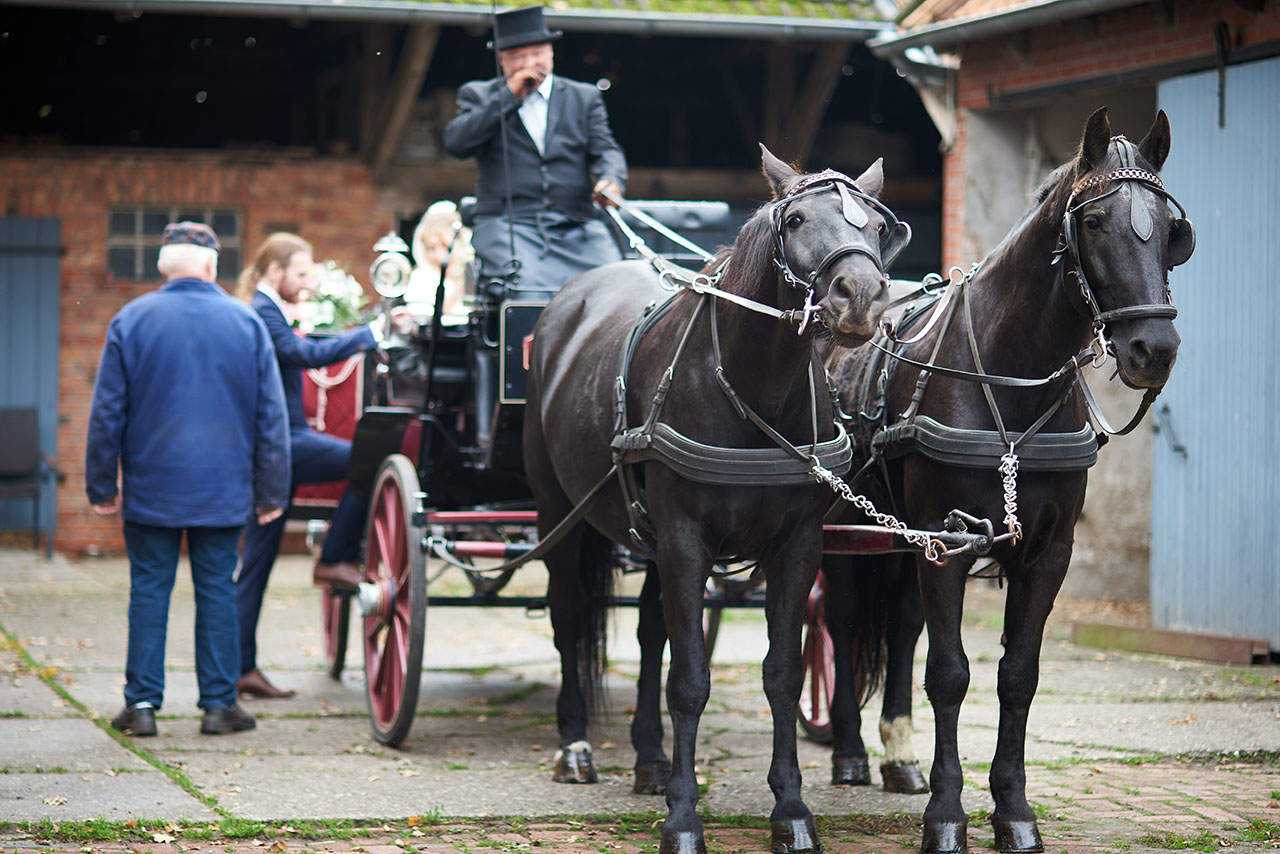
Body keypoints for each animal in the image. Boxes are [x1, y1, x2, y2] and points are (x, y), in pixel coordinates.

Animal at [522, 148, 911, 854]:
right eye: (797, 220)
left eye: (875, 225)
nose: (861, 298)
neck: (755, 388)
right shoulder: (684, 538)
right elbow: (690, 679)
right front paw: (682, 818)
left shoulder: (796, 545)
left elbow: (781, 673)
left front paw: (791, 810)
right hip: (557, 513)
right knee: (568, 618)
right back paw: (575, 748)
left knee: (650, 631)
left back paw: (649, 760)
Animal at [824, 108, 1192, 854]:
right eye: (1095, 222)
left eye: (1172, 229)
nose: (1155, 351)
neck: (1007, 371)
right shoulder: (946, 541)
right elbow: (950, 674)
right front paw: (947, 815)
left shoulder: (1046, 553)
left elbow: (1018, 676)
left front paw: (1013, 811)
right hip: (845, 526)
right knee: (840, 619)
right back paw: (848, 749)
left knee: (901, 625)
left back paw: (897, 756)